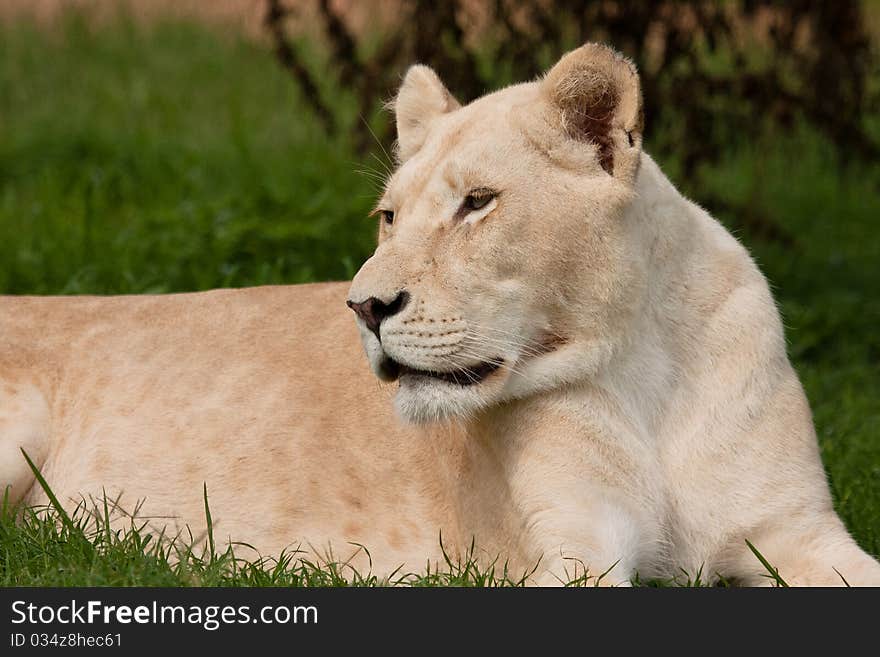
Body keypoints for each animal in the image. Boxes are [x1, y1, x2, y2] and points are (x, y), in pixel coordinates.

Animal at [1, 42, 880, 584]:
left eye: (476, 203)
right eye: (389, 217)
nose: (363, 305)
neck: (645, 378)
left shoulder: (800, 531)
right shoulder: (568, 551)